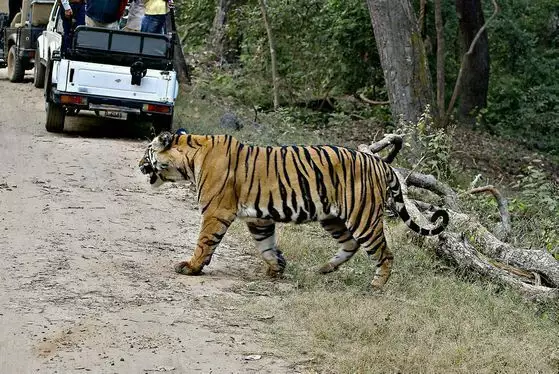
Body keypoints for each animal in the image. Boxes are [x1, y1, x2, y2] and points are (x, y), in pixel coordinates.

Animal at [140, 129, 450, 290]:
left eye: (147, 152)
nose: (139, 165)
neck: (190, 157)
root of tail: (381, 162)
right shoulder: (259, 218)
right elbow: (266, 246)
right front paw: (276, 268)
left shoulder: (216, 211)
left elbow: (204, 242)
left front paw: (191, 267)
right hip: (333, 217)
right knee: (350, 244)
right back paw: (324, 268)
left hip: (363, 217)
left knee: (384, 253)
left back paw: (376, 286)